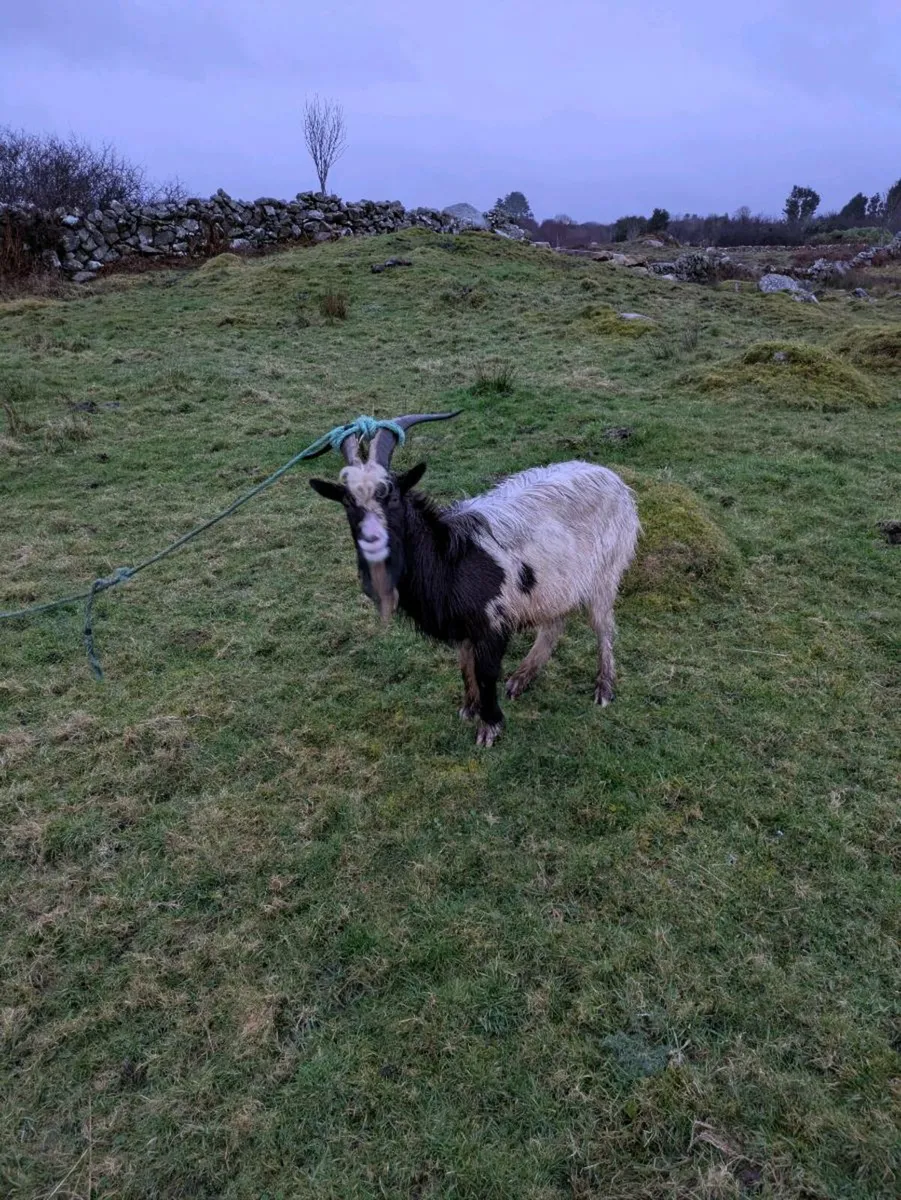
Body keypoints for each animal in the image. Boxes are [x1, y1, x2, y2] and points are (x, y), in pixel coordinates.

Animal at [309, 412, 640, 746]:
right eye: (348, 502)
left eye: (391, 495)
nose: (372, 539)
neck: (449, 557)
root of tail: (613, 479)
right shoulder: (463, 626)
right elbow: (465, 665)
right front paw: (470, 707)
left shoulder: (492, 622)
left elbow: (486, 672)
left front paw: (489, 725)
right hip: (555, 585)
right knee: (554, 625)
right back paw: (521, 678)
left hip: (605, 573)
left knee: (603, 626)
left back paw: (604, 687)